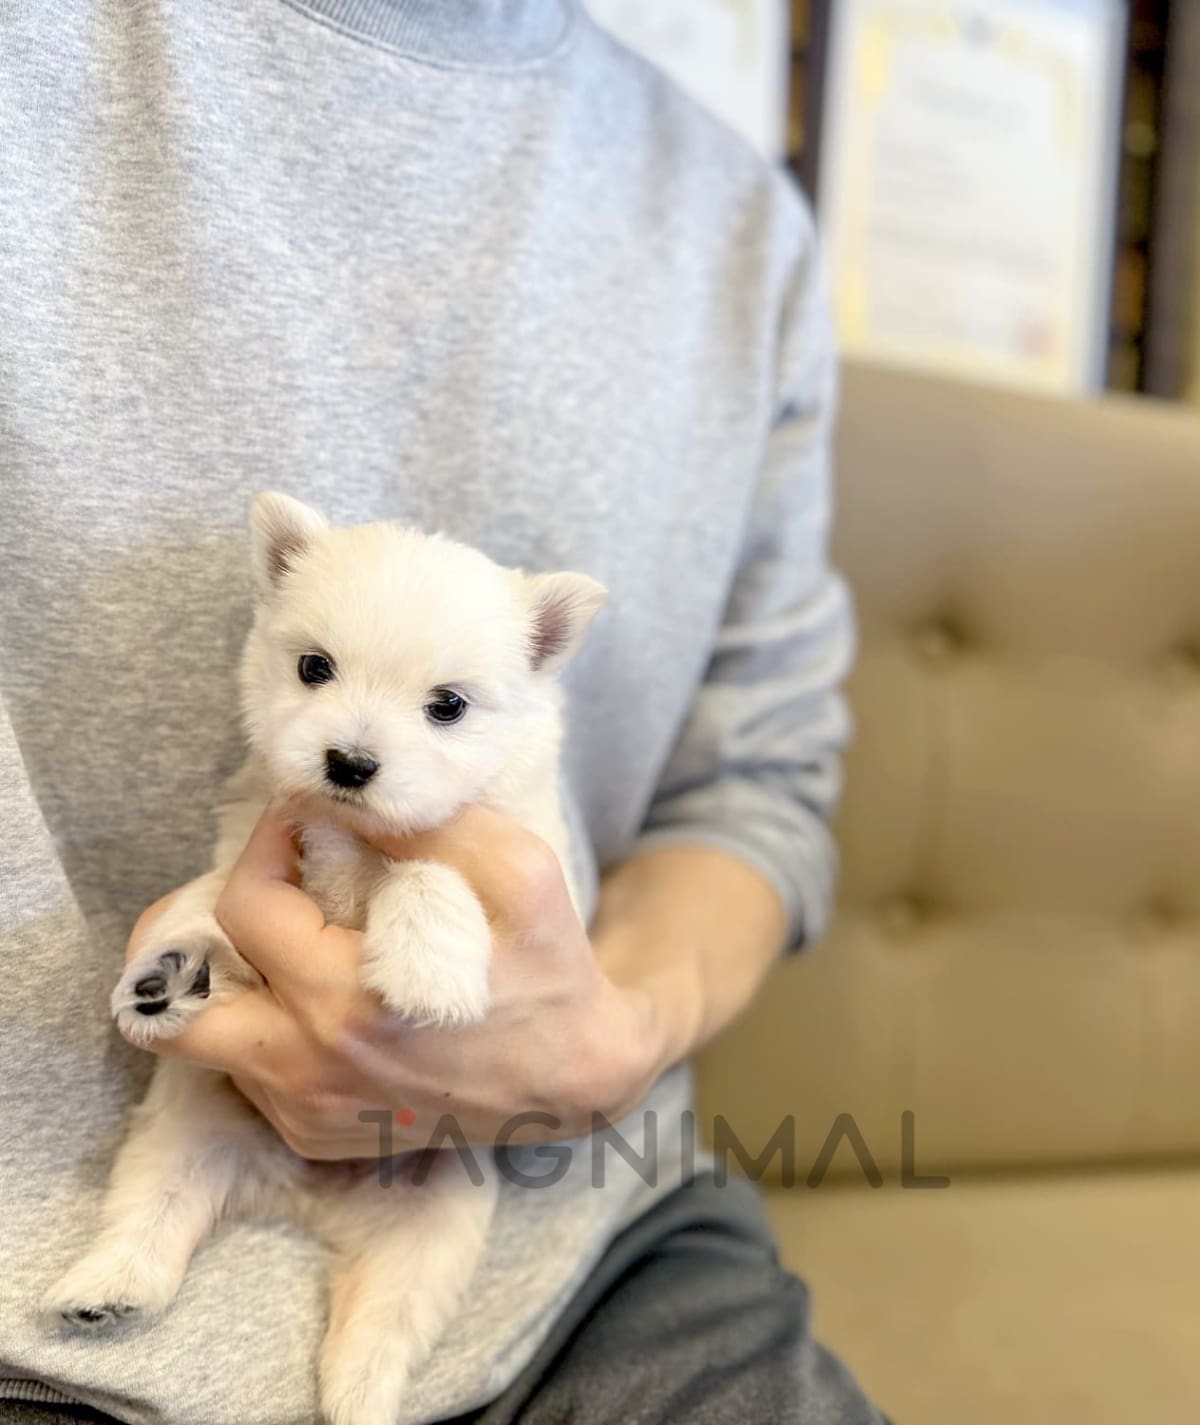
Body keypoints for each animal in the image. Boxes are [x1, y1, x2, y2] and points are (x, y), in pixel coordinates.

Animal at [44, 493, 606, 1425]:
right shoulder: (254, 840)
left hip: (438, 1220)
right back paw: (106, 1284)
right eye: (314, 667)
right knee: (152, 1214)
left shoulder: (527, 865)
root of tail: (304, 1200)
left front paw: (426, 966)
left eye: (447, 705)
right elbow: (212, 898)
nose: (348, 761)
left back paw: (358, 1395)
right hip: (186, 1130)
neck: (351, 831)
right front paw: (174, 959)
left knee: (381, 1327)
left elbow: (427, 868)